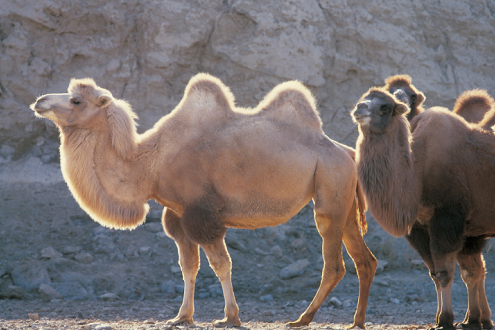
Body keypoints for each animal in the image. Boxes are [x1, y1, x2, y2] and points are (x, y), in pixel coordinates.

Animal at [31, 73, 378, 328]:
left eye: (76, 100)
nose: (39, 100)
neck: (151, 164)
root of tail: (347, 152)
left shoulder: (202, 213)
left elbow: (221, 265)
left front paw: (230, 317)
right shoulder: (177, 214)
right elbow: (189, 266)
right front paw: (181, 317)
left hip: (329, 189)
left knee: (334, 263)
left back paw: (301, 319)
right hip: (344, 200)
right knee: (365, 260)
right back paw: (357, 322)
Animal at [350, 87, 495, 330]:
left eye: (385, 106)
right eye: (363, 98)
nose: (359, 107)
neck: (417, 174)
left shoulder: (447, 218)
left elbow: (445, 273)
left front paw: (446, 320)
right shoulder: (421, 227)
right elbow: (439, 273)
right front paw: (465, 320)